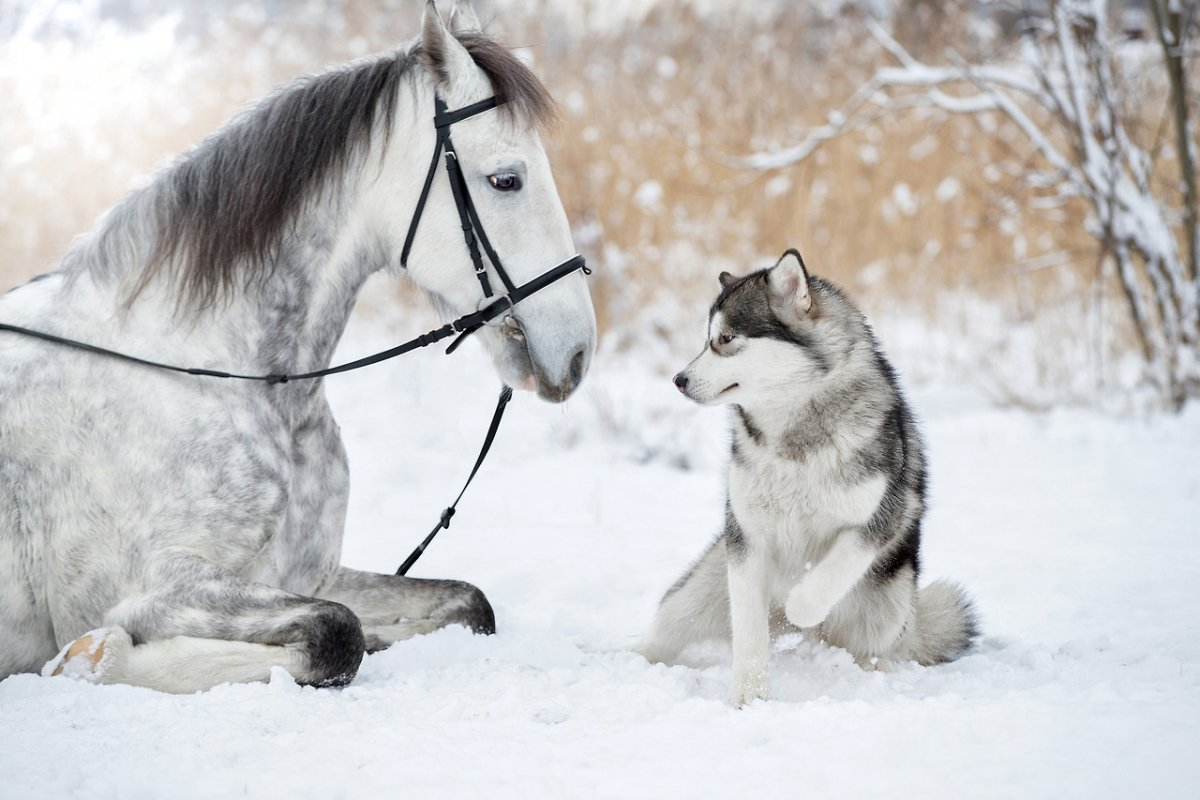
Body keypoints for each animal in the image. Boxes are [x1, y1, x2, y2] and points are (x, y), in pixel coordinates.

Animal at [638, 247, 974, 705]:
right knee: (669, 625)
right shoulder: (747, 539)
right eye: (707, 340)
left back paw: (869, 666)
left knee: (878, 643)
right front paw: (750, 697)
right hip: (701, 587)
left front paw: (802, 602)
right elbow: (748, 632)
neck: (793, 434)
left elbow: (833, 570)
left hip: (891, 602)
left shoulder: (883, 516)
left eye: (725, 339)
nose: (679, 379)